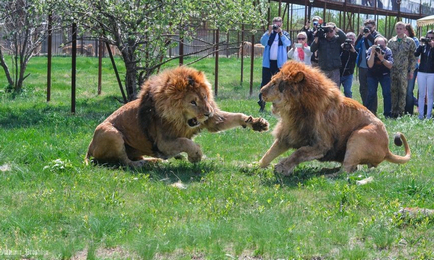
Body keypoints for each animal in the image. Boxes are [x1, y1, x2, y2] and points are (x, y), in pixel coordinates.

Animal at [85, 65, 270, 167]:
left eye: (205, 97)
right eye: (193, 102)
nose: (208, 112)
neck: (182, 119)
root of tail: (89, 147)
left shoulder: (211, 121)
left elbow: (235, 117)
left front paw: (256, 123)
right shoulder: (163, 142)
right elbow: (186, 142)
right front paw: (195, 156)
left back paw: (156, 161)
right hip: (111, 133)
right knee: (125, 162)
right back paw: (145, 163)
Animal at [258, 61, 410, 175]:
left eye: (274, 83)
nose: (261, 92)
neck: (295, 110)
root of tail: (386, 150)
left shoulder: (322, 145)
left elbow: (299, 153)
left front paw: (282, 167)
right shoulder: (288, 134)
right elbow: (268, 154)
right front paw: (254, 166)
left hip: (359, 135)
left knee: (346, 171)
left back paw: (327, 175)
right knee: (352, 168)